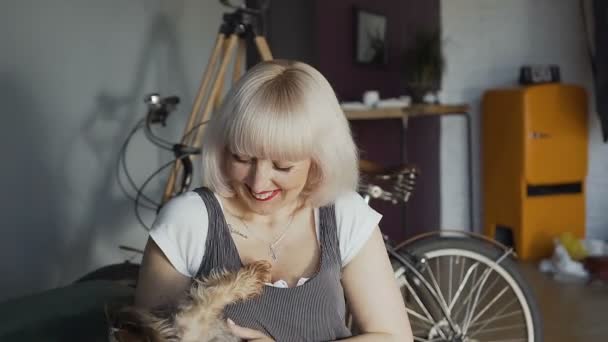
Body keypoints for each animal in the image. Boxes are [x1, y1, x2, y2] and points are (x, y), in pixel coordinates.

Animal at [108, 260, 272, 340]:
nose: (116, 320)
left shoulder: (199, 312)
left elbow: (223, 290)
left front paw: (255, 275)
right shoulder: (200, 310)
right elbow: (219, 291)